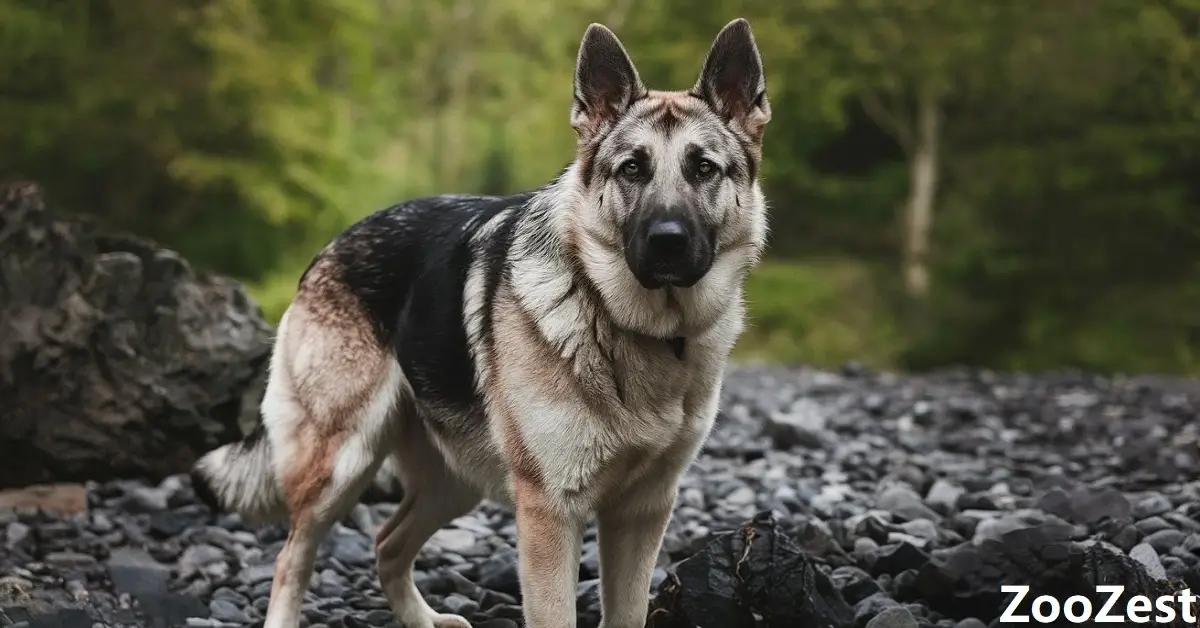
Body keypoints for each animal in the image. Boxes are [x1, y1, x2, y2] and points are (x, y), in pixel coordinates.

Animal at [188, 15, 768, 628]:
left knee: (386, 544)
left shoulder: (641, 513)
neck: (630, 325)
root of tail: (333, 244)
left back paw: (422, 619)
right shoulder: (550, 514)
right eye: (632, 169)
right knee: (292, 557)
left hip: (456, 481)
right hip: (341, 466)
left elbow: (627, 612)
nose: (667, 241)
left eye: (703, 169)